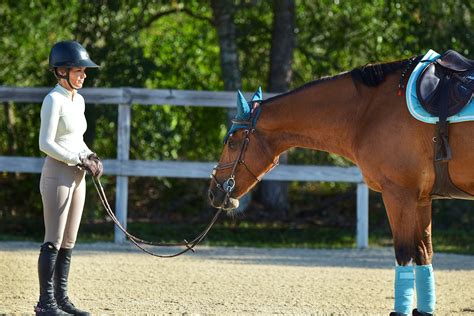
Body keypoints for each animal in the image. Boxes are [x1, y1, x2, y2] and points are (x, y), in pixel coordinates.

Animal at [207, 54, 474, 316]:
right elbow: (423, 254)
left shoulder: (399, 195)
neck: (370, 111)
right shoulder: (420, 199)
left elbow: (404, 255)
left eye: (232, 142)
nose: (214, 191)